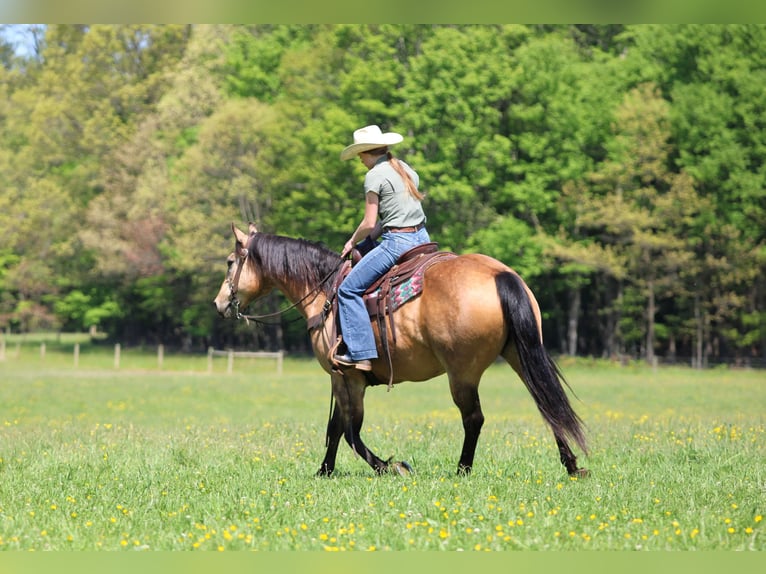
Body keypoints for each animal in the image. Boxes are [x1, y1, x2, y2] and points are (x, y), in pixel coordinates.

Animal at [213, 223, 588, 478]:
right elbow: (338, 428)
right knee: (547, 404)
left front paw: (390, 466)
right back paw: (571, 465)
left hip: (462, 373)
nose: (219, 304)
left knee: (474, 418)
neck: (326, 293)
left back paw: (462, 469)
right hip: (519, 355)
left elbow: (349, 430)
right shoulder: (344, 380)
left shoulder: (347, 377)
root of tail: (499, 274)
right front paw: (325, 471)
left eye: (231, 261)